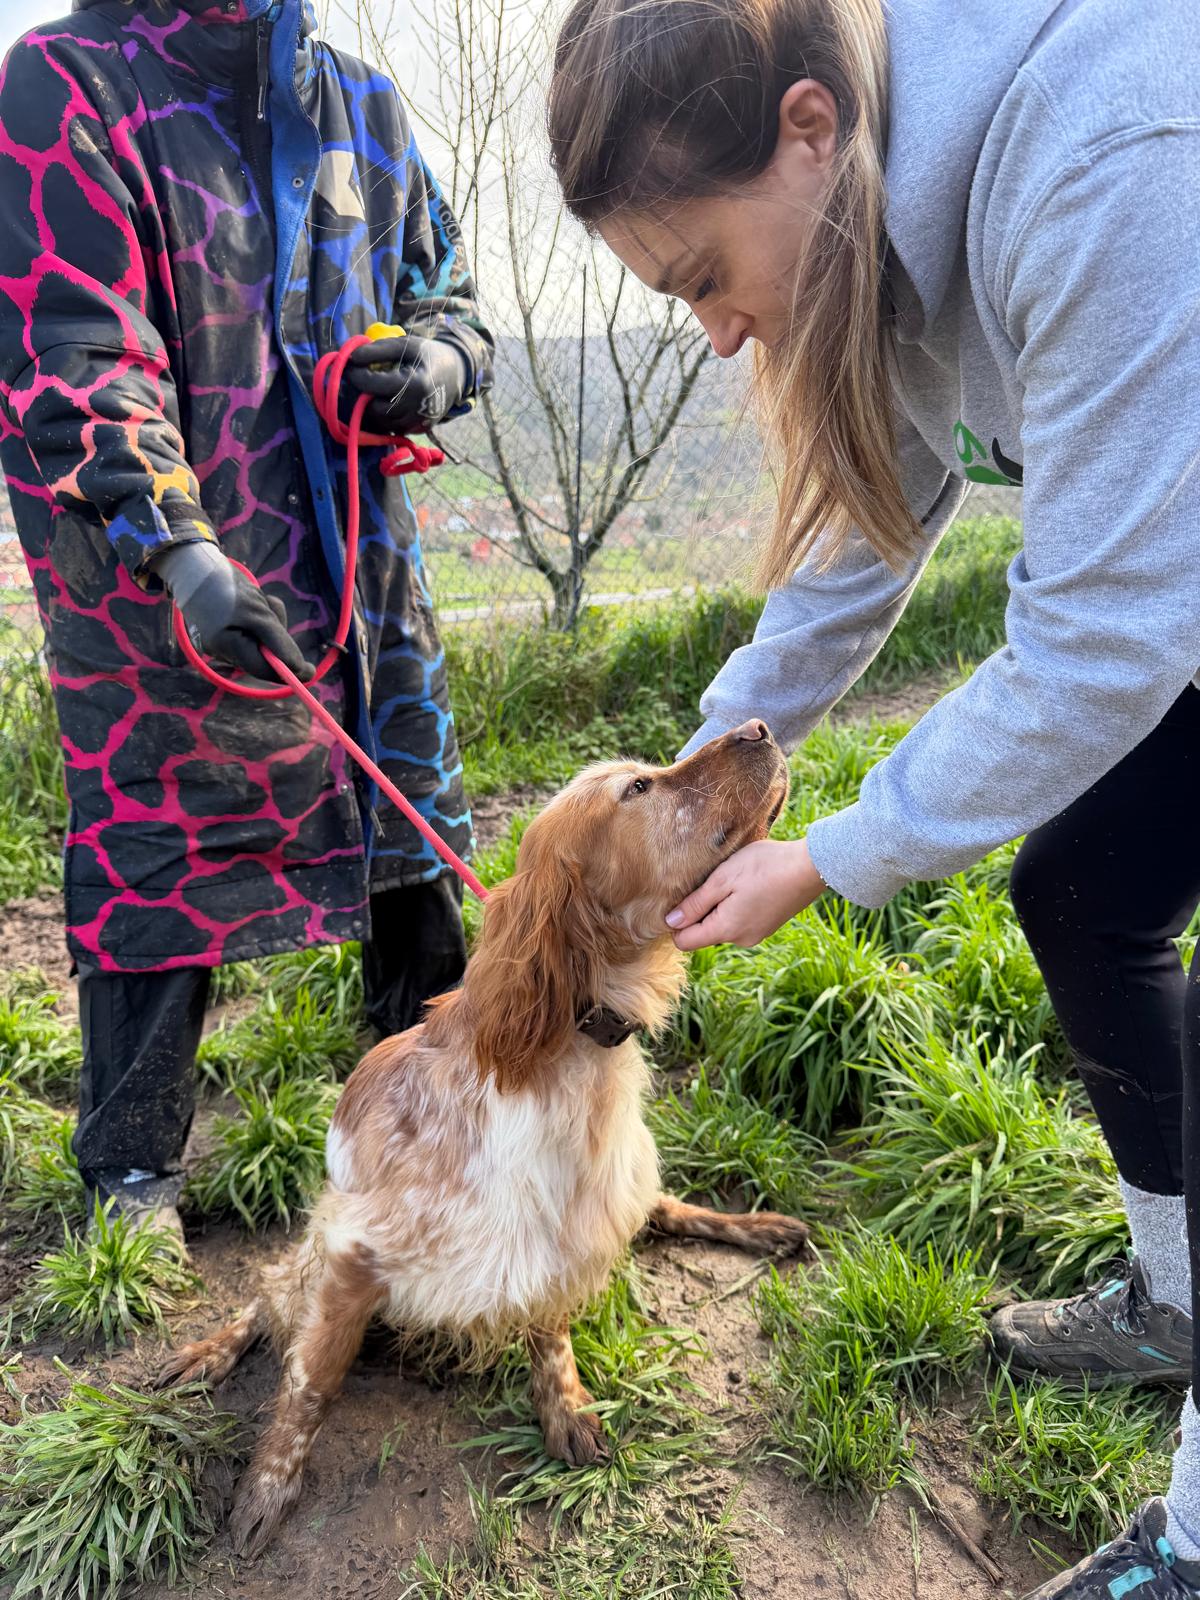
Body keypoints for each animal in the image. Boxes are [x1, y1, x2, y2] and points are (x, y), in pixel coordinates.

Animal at [159, 719, 812, 1554]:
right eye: (638, 788)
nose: (760, 725)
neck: (567, 1052)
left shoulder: (562, 1229)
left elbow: (552, 1330)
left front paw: (565, 1407)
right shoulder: (352, 1250)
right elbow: (312, 1380)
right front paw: (268, 1487)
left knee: (663, 1207)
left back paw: (763, 1226)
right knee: (270, 1291)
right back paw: (207, 1353)